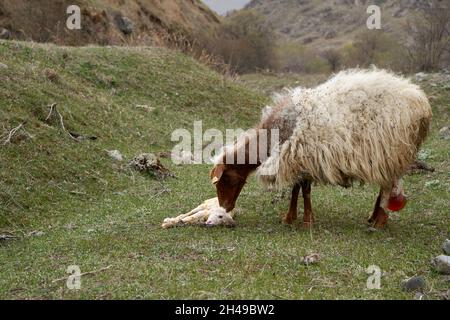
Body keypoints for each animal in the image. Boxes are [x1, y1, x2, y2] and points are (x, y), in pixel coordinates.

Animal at [211, 68, 432, 228]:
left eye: (227, 179)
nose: (225, 207)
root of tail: (422, 104)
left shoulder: (301, 156)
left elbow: (304, 191)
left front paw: (305, 220)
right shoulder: (298, 159)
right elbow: (297, 189)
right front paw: (291, 217)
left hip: (391, 152)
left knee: (386, 188)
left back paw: (379, 221)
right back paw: (373, 217)